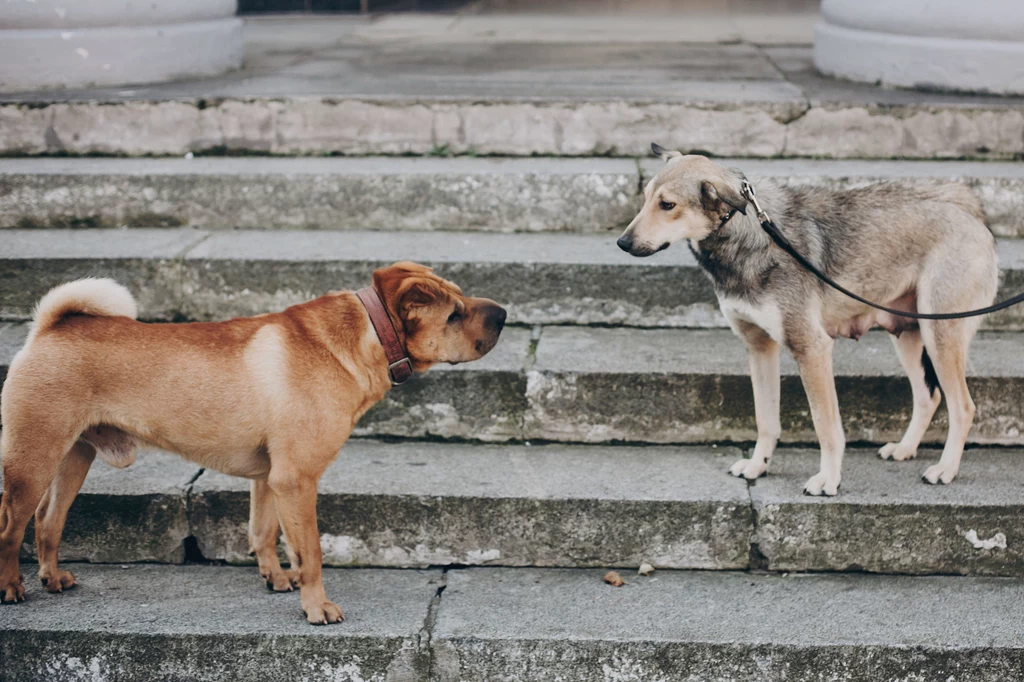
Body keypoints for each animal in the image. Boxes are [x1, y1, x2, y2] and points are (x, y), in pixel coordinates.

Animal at [0, 260, 503, 622]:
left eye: (462, 297)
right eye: (454, 314)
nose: (503, 313)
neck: (369, 335)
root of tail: (50, 326)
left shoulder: (270, 479)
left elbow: (263, 532)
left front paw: (276, 577)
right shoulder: (296, 480)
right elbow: (311, 552)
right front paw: (316, 607)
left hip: (74, 456)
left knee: (48, 522)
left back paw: (52, 578)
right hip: (33, 461)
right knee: (11, 528)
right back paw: (12, 588)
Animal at [618, 144, 995, 493]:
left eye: (668, 205)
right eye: (646, 197)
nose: (622, 242)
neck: (748, 236)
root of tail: (970, 213)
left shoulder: (811, 349)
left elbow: (825, 426)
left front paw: (828, 479)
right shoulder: (760, 348)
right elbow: (766, 419)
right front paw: (758, 466)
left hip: (940, 335)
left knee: (963, 406)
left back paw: (945, 469)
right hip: (908, 335)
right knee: (928, 397)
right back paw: (905, 449)